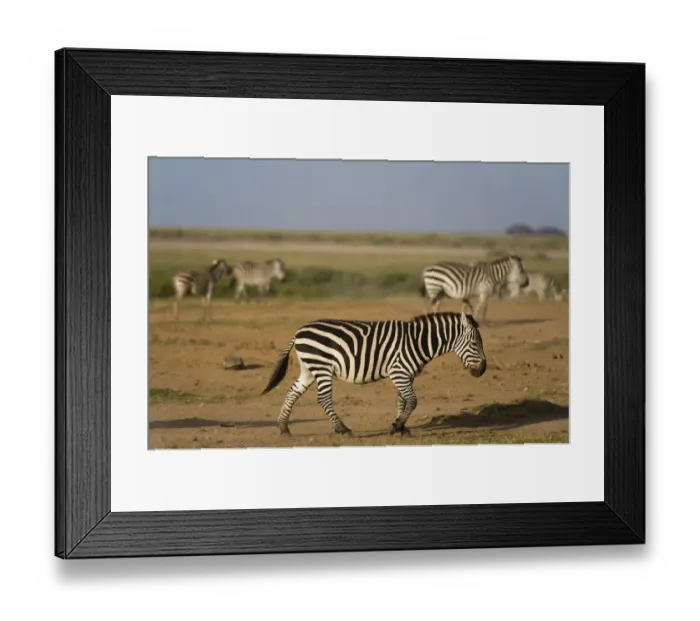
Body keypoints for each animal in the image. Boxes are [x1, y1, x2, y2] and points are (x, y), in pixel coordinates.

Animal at [261, 311, 487, 437]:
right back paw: (343, 429)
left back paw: (284, 428)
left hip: (309, 369)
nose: (483, 370)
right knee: (323, 399)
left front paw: (401, 428)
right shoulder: (399, 372)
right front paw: (397, 426)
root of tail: (299, 330)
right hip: (322, 367)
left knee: (292, 392)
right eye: (475, 343)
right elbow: (413, 401)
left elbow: (402, 401)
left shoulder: (405, 374)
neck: (418, 342)